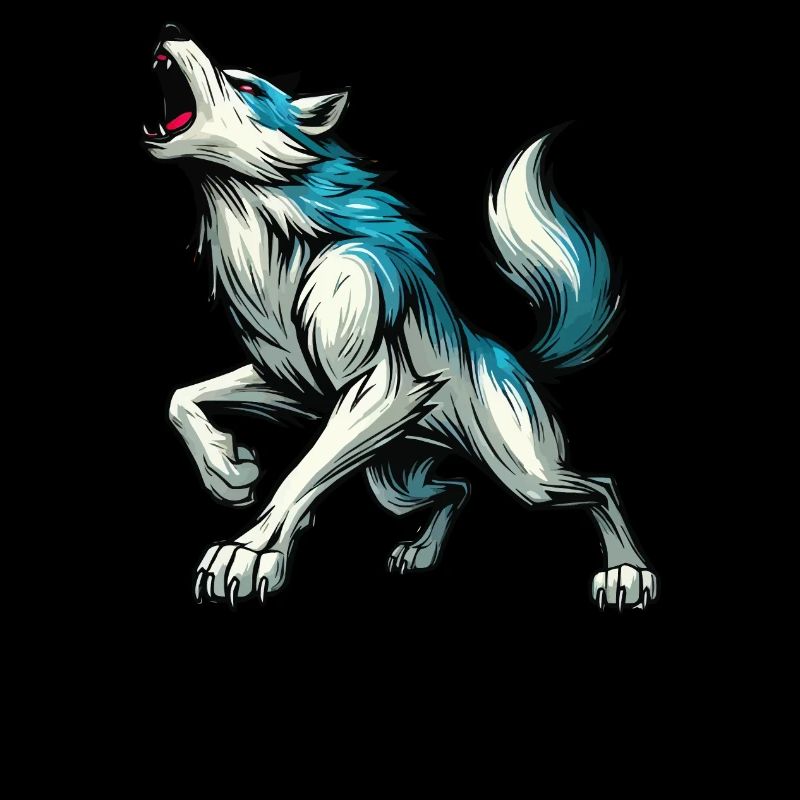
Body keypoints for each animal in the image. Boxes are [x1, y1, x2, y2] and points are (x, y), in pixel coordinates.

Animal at [145, 23, 657, 610]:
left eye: (248, 86)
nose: (169, 30)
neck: (281, 248)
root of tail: (516, 360)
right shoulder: (294, 385)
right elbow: (181, 398)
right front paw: (229, 471)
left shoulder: (386, 383)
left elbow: (298, 476)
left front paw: (249, 552)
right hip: (395, 485)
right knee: (458, 488)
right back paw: (422, 553)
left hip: (526, 477)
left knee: (600, 487)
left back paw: (626, 572)